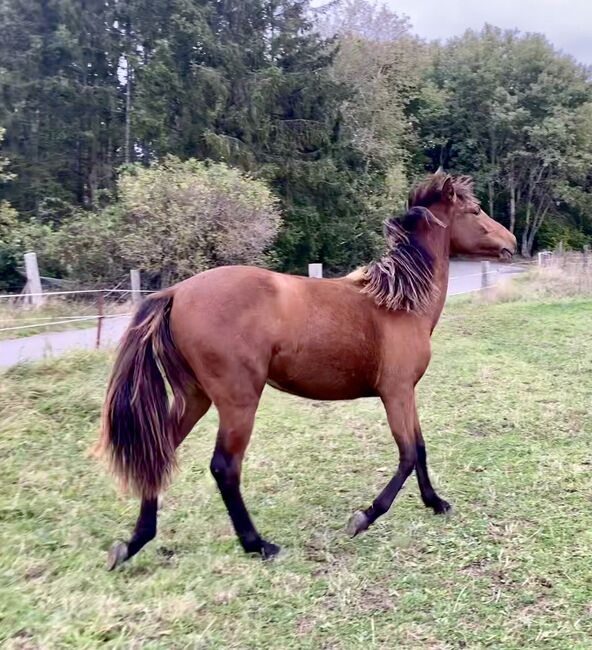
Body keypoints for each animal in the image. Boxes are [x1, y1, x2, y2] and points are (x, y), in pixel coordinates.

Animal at [97, 172, 512, 568]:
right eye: (475, 211)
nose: (510, 242)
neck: (398, 302)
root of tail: (176, 293)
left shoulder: (406, 392)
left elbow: (420, 448)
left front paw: (435, 502)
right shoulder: (396, 392)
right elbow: (408, 454)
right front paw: (363, 518)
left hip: (194, 397)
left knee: (160, 451)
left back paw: (133, 543)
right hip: (237, 401)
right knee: (224, 467)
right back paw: (258, 545)